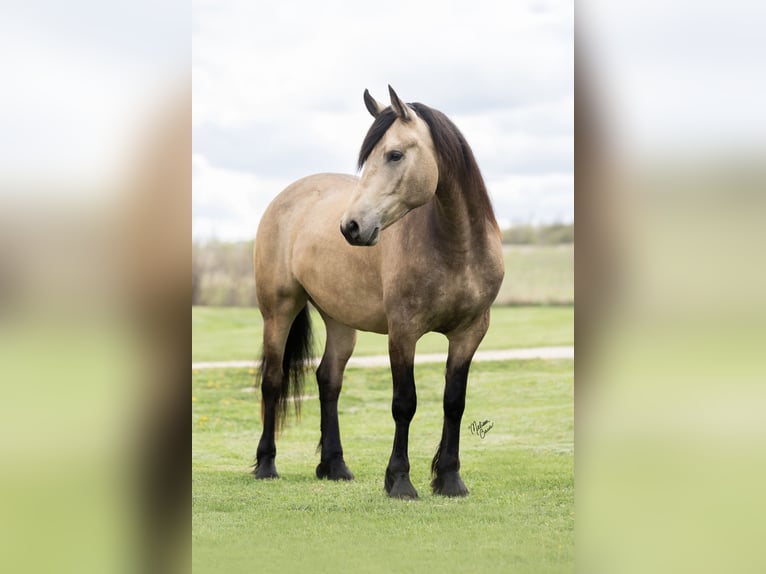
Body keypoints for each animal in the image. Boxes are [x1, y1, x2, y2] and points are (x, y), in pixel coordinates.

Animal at [253, 86, 504, 498]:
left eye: (395, 154)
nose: (351, 226)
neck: (456, 248)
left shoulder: (470, 333)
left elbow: (454, 402)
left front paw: (450, 479)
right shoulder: (403, 332)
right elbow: (405, 403)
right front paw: (399, 481)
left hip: (339, 320)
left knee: (329, 380)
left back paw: (334, 465)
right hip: (278, 310)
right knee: (273, 381)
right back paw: (265, 464)